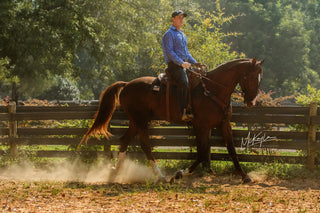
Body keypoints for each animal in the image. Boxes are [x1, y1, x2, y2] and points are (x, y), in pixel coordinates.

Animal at [79, 57, 264, 183]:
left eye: (259, 77)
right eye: (251, 76)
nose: (251, 101)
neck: (212, 90)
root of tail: (126, 85)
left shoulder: (224, 125)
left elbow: (231, 150)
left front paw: (245, 176)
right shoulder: (201, 127)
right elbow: (202, 152)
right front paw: (179, 174)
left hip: (135, 120)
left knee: (125, 140)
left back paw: (116, 170)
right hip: (140, 120)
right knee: (145, 144)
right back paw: (160, 175)